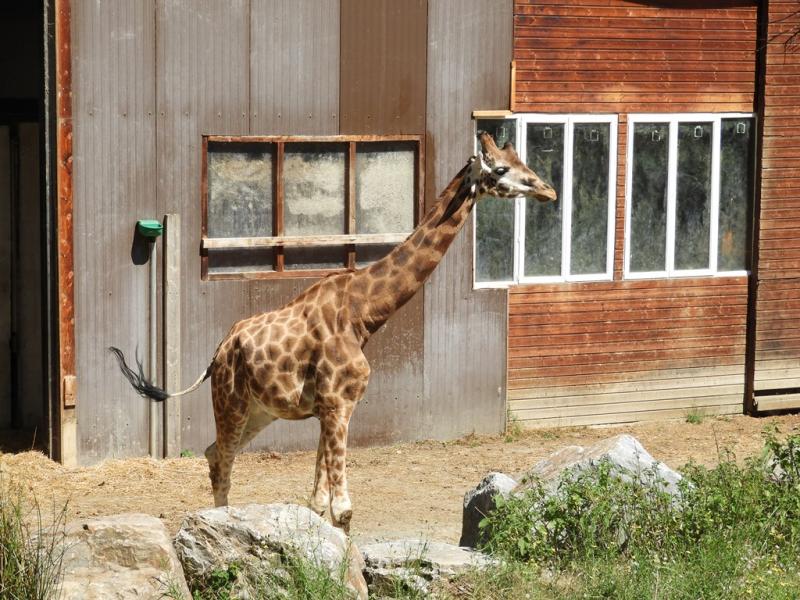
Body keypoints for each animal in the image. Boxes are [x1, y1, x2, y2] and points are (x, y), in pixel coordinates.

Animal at [111, 132, 556, 531]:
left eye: (521, 160)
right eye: (501, 168)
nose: (548, 190)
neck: (363, 313)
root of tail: (217, 353)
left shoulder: (331, 406)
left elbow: (319, 503)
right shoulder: (338, 404)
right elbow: (343, 510)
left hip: (260, 410)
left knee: (213, 453)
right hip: (230, 402)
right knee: (222, 459)